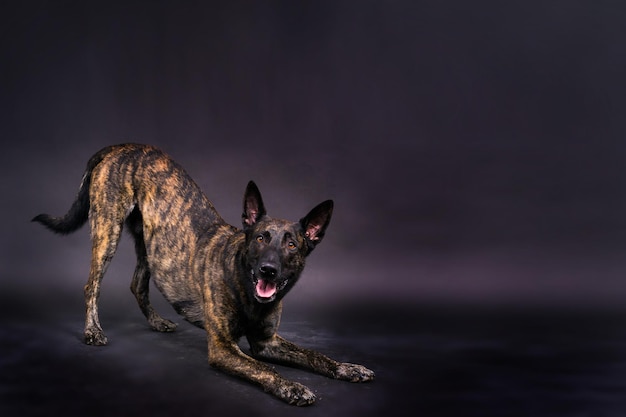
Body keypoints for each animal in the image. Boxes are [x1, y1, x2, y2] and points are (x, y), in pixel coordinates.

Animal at [34, 143, 372, 404]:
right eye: (260, 238)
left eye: (291, 245)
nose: (269, 270)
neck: (244, 283)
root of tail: (121, 146)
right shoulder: (223, 349)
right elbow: (266, 369)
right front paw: (292, 386)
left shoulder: (267, 342)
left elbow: (314, 355)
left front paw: (347, 367)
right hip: (108, 230)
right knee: (92, 285)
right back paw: (93, 331)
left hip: (151, 243)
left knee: (137, 284)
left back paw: (156, 321)